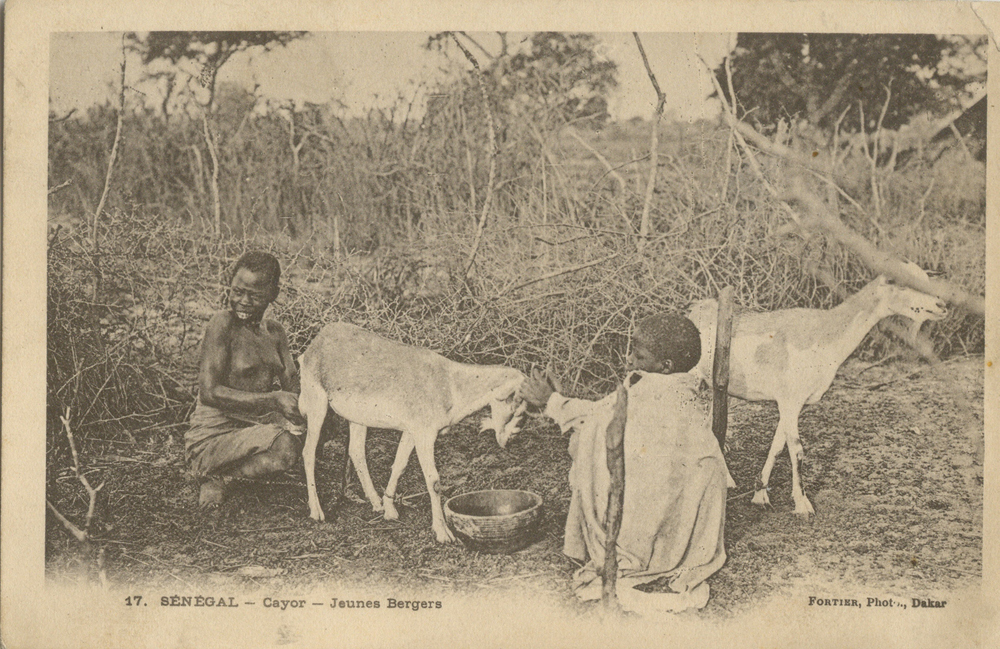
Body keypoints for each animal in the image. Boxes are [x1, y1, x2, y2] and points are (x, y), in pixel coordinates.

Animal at [296, 322, 528, 540]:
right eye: (516, 405)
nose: (509, 439)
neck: (450, 384)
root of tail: (316, 343)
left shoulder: (411, 431)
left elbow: (399, 465)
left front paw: (390, 509)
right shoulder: (425, 434)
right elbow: (434, 481)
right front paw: (443, 533)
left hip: (357, 417)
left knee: (356, 451)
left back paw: (376, 503)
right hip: (317, 402)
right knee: (308, 452)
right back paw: (317, 511)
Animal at [688, 276, 944, 512]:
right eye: (903, 282)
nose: (941, 304)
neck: (823, 334)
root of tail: (693, 309)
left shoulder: (792, 404)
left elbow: (778, 446)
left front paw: (760, 495)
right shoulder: (790, 399)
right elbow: (797, 449)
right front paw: (803, 505)